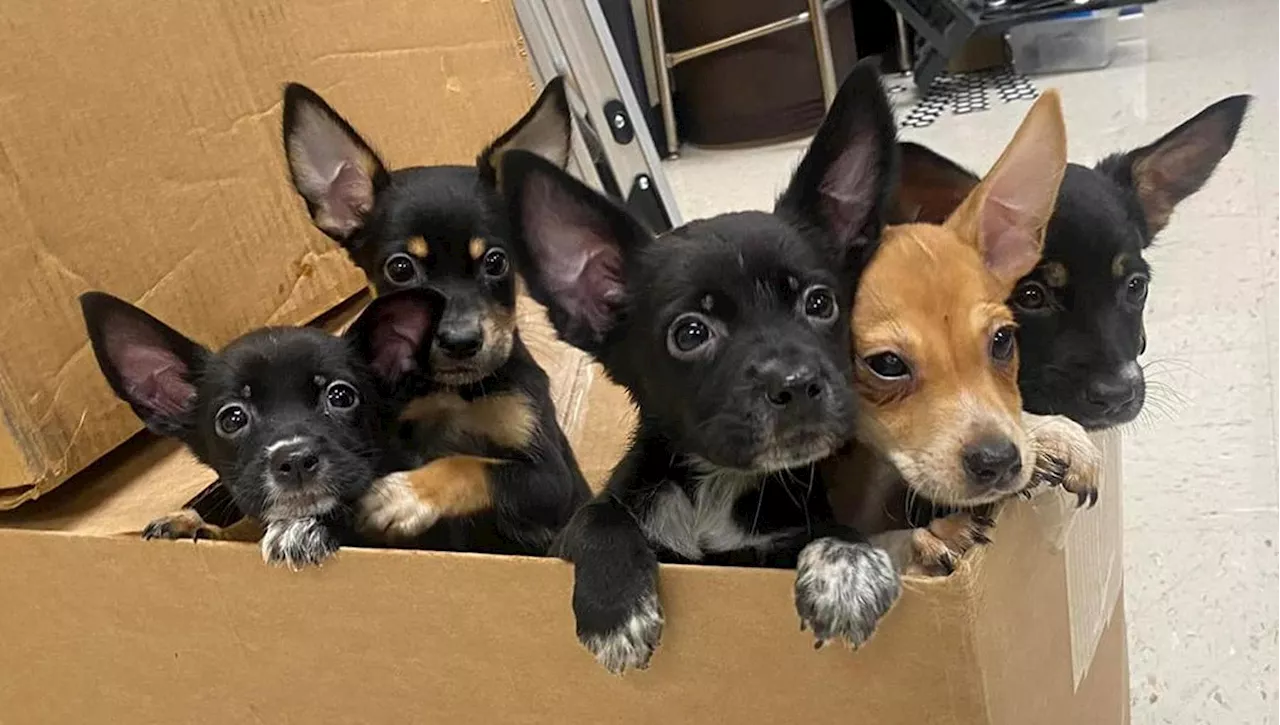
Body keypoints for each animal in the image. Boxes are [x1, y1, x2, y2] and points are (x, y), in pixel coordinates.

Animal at [280, 79, 588, 553]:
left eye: (496, 262)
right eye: (400, 269)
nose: (460, 341)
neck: (453, 393)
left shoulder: (551, 480)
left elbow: (471, 464)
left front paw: (406, 495)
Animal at [496, 62, 901, 676]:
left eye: (820, 303)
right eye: (690, 334)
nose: (797, 385)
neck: (718, 483)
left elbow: (823, 528)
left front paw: (847, 563)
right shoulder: (575, 530)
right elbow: (598, 516)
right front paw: (616, 608)